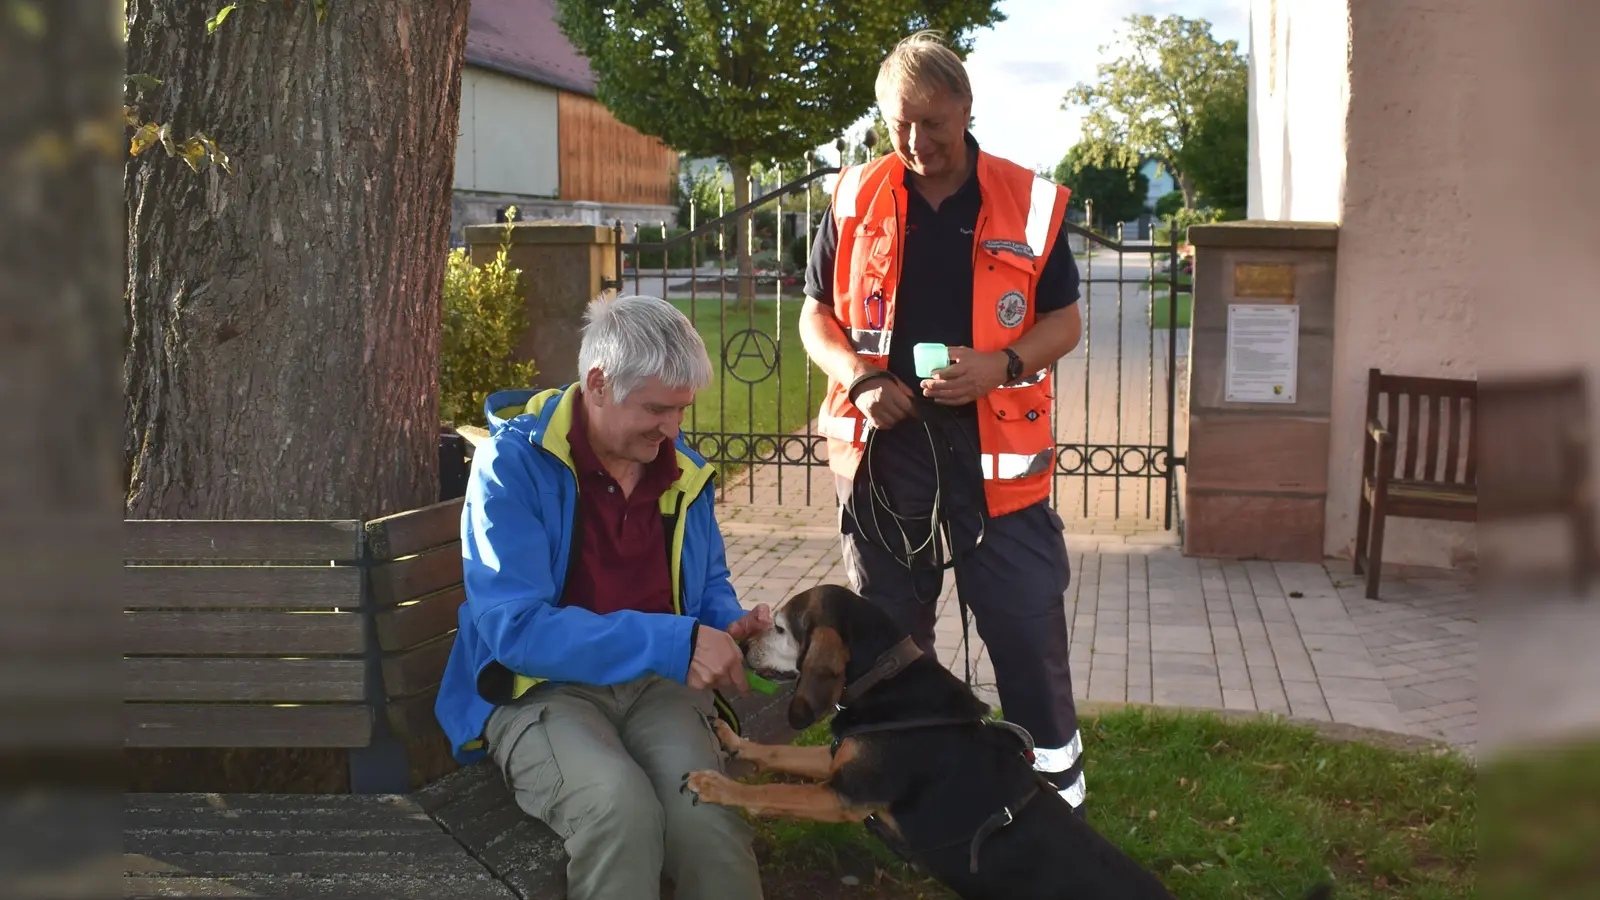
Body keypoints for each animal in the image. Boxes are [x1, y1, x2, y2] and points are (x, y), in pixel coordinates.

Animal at [681, 582, 1331, 896]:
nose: (741, 645)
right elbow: (780, 753)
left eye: (781, 628)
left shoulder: (846, 795)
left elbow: (768, 792)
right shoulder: (842, 765)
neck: (890, 685)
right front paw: (732, 742)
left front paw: (714, 783)